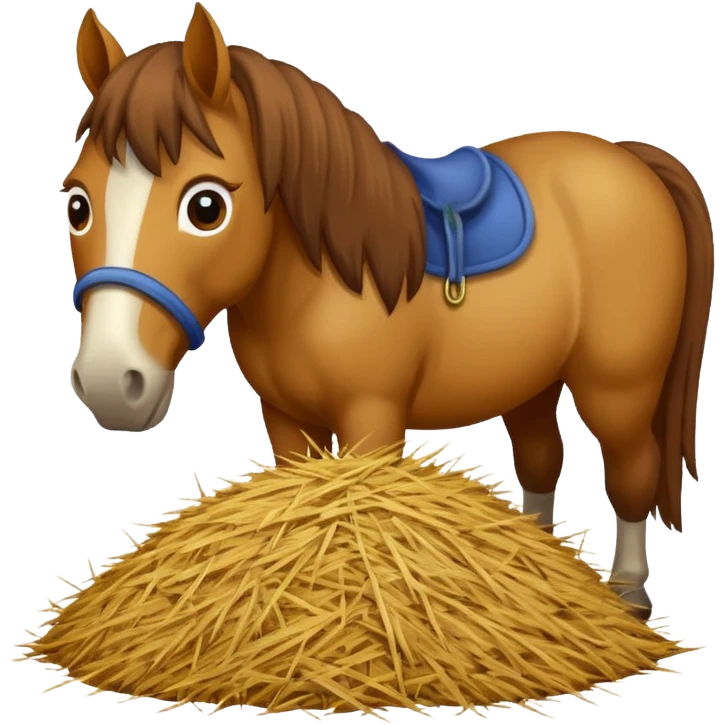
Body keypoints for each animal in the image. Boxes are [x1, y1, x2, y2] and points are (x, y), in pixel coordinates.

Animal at [65, 4, 714, 620]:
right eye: (77, 204)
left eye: (206, 207)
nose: (109, 382)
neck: (321, 280)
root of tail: (627, 159)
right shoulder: (285, 418)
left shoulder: (372, 419)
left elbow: (361, 514)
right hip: (532, 381)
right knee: (539, 460)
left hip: (619, 388)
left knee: (632, 469)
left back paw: (628, 594)